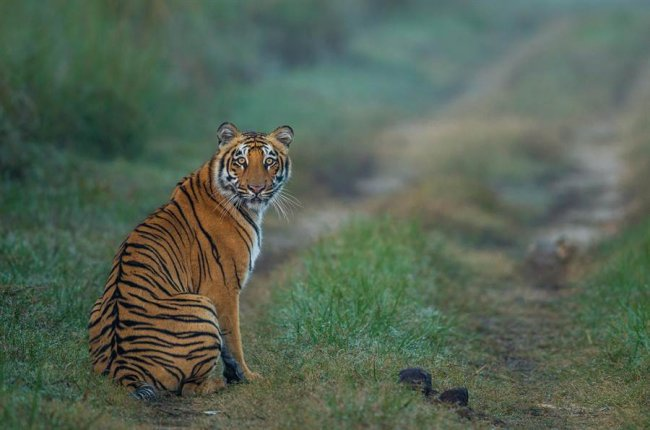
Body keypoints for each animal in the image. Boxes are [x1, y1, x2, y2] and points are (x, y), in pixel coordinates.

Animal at [88, 122, 294, 399]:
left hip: (97, 307)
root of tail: (123, 368)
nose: (257, 189)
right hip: (201, 307)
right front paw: (246, 378)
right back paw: (216, 384)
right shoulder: (223, 288)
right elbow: (233, 341)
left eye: (269, 161)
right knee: (188, 389)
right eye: (241, 161)